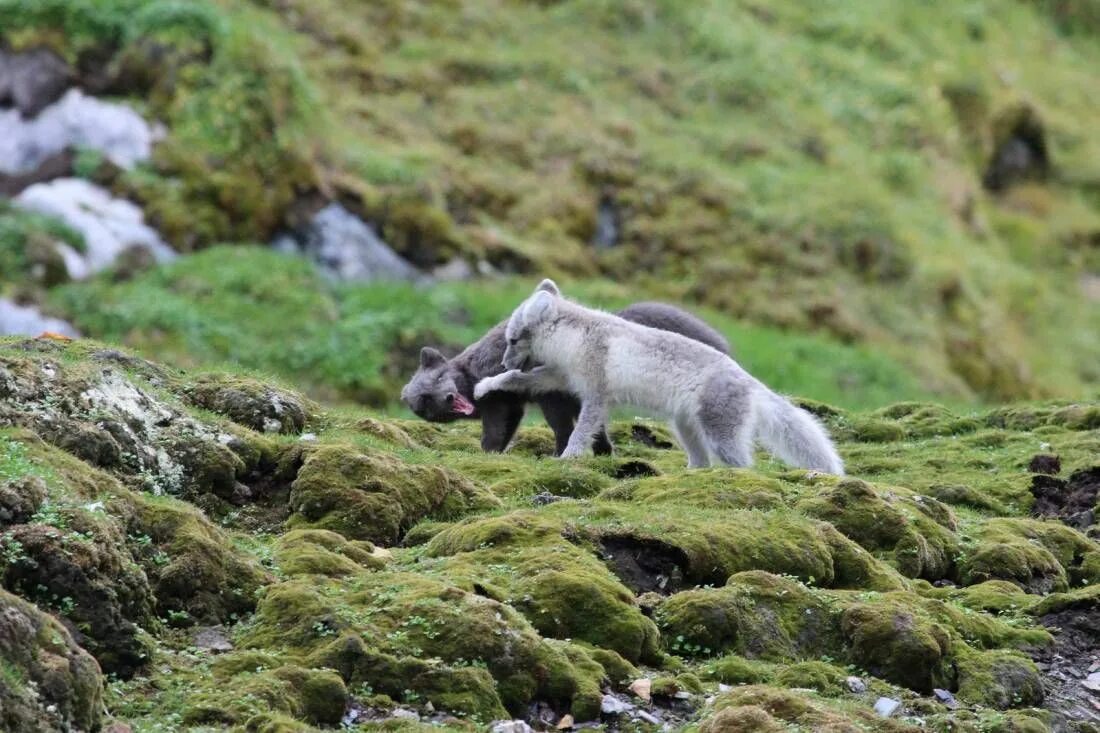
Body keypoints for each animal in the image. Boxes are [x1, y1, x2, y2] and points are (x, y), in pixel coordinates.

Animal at [400, 297, 726, 451]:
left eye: (438, 379)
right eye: (424, 402)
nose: (448, 397)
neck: (470, 375)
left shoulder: (501, 402)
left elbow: (494, 433)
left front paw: (488, 453)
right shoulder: (512, 405)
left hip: (554, 397)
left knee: (567, 428)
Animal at [473, 277, 840, 471]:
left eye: (512, 339)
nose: (503, 362)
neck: (575, 339)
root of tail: (751, 382)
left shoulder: (596, 392)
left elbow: (583, 429)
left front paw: (569, 458)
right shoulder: (562, 377)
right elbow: (521, 380)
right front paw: (486, 385)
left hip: (720, 435)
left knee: (743, 463)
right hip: (685, 427)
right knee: (702, 461)